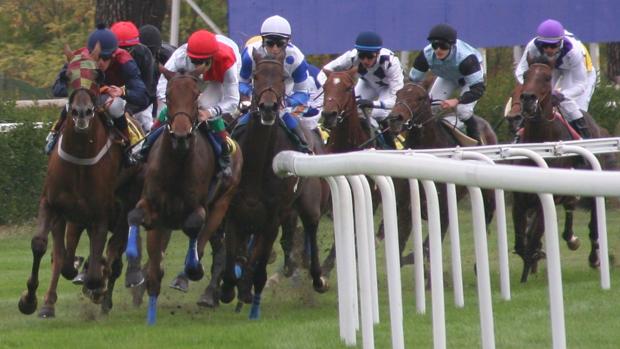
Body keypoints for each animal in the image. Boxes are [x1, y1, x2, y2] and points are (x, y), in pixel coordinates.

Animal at [18, 42, 140, 316]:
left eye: (98, 76)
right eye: (66, 75)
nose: (81, 112)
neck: (80, 157)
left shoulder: (101, 214)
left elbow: (96, 270)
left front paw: (96, 286)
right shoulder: (52, 203)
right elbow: (43, 246)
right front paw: (29, 300)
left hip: (125, 209)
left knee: (114, 254)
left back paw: (105, 294)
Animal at [126, 66, 242, 324]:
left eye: (196, 96)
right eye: (168, 96)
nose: (180, 136)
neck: (176, 163)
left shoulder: (198, 207)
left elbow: (193, 226)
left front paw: (190, 271)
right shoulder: (152, 207)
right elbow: (136, 217)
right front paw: (137, 271)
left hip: (222, 203)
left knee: (203, 237)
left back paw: (189, 275)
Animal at [222, 49, 330, 318]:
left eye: (282, 77)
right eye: (256, 75)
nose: (269, 108)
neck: (257, 163)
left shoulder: (272, 215)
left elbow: (259, 259)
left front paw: (252, 287)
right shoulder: (233, 211)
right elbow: (232, 253)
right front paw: (229, 288)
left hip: (309, 204)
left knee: (311, 230)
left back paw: (317, 278)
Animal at [388, 81, 498, 266]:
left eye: (419, 98)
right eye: (398, 94)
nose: (395, 118)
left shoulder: (443, 210)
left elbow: (427, 249)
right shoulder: (405, 208)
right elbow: (401, 247)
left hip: (488, 195)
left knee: (487, 215)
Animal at [508, 57, 612, 280]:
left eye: (547, 78)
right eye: (526, 75)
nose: (528, 98)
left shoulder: (543, 201)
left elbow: (531, 239)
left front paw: (532, 263)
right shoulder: (519, 200)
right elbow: (521, 243)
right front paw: (528, 270)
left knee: (593, 226)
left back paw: (594, 258)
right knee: (570, 207)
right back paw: (570, 238)